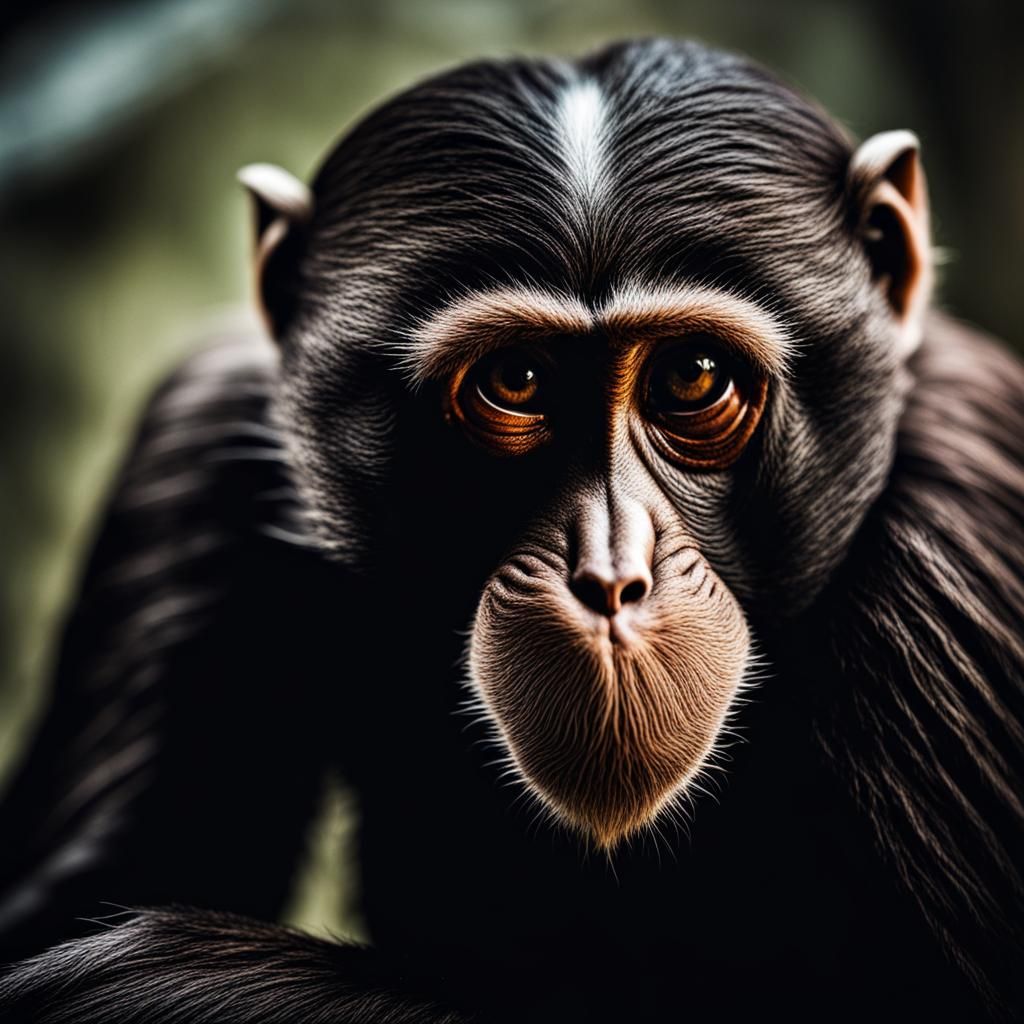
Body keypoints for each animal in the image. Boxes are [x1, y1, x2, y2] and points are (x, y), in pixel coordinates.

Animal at [0, 36, 1021, 1023]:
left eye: (692, 375)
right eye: (516, 381)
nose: (610, 575)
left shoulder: (949, 558)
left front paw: (147, 974)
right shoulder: (203, 430)